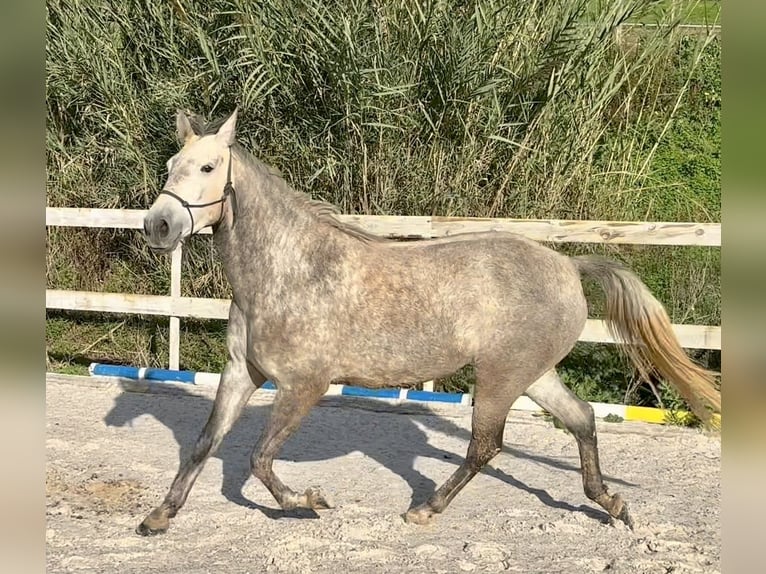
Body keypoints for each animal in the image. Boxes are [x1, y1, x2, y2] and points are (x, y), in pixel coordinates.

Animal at [140, 110, 728, 536]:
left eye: (209, 168)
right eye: (171, 164)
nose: (158, 225)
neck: (287, 270)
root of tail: (567, 264)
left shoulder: (304, 385)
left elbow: (259, 460)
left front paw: (308, 501)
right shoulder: (243, 373)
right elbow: (204, 444)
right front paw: (158, 517)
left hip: (498, 378)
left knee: (485, 446)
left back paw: (425, 508)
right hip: (532, 374)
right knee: (581, 419)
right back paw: (611, 504)